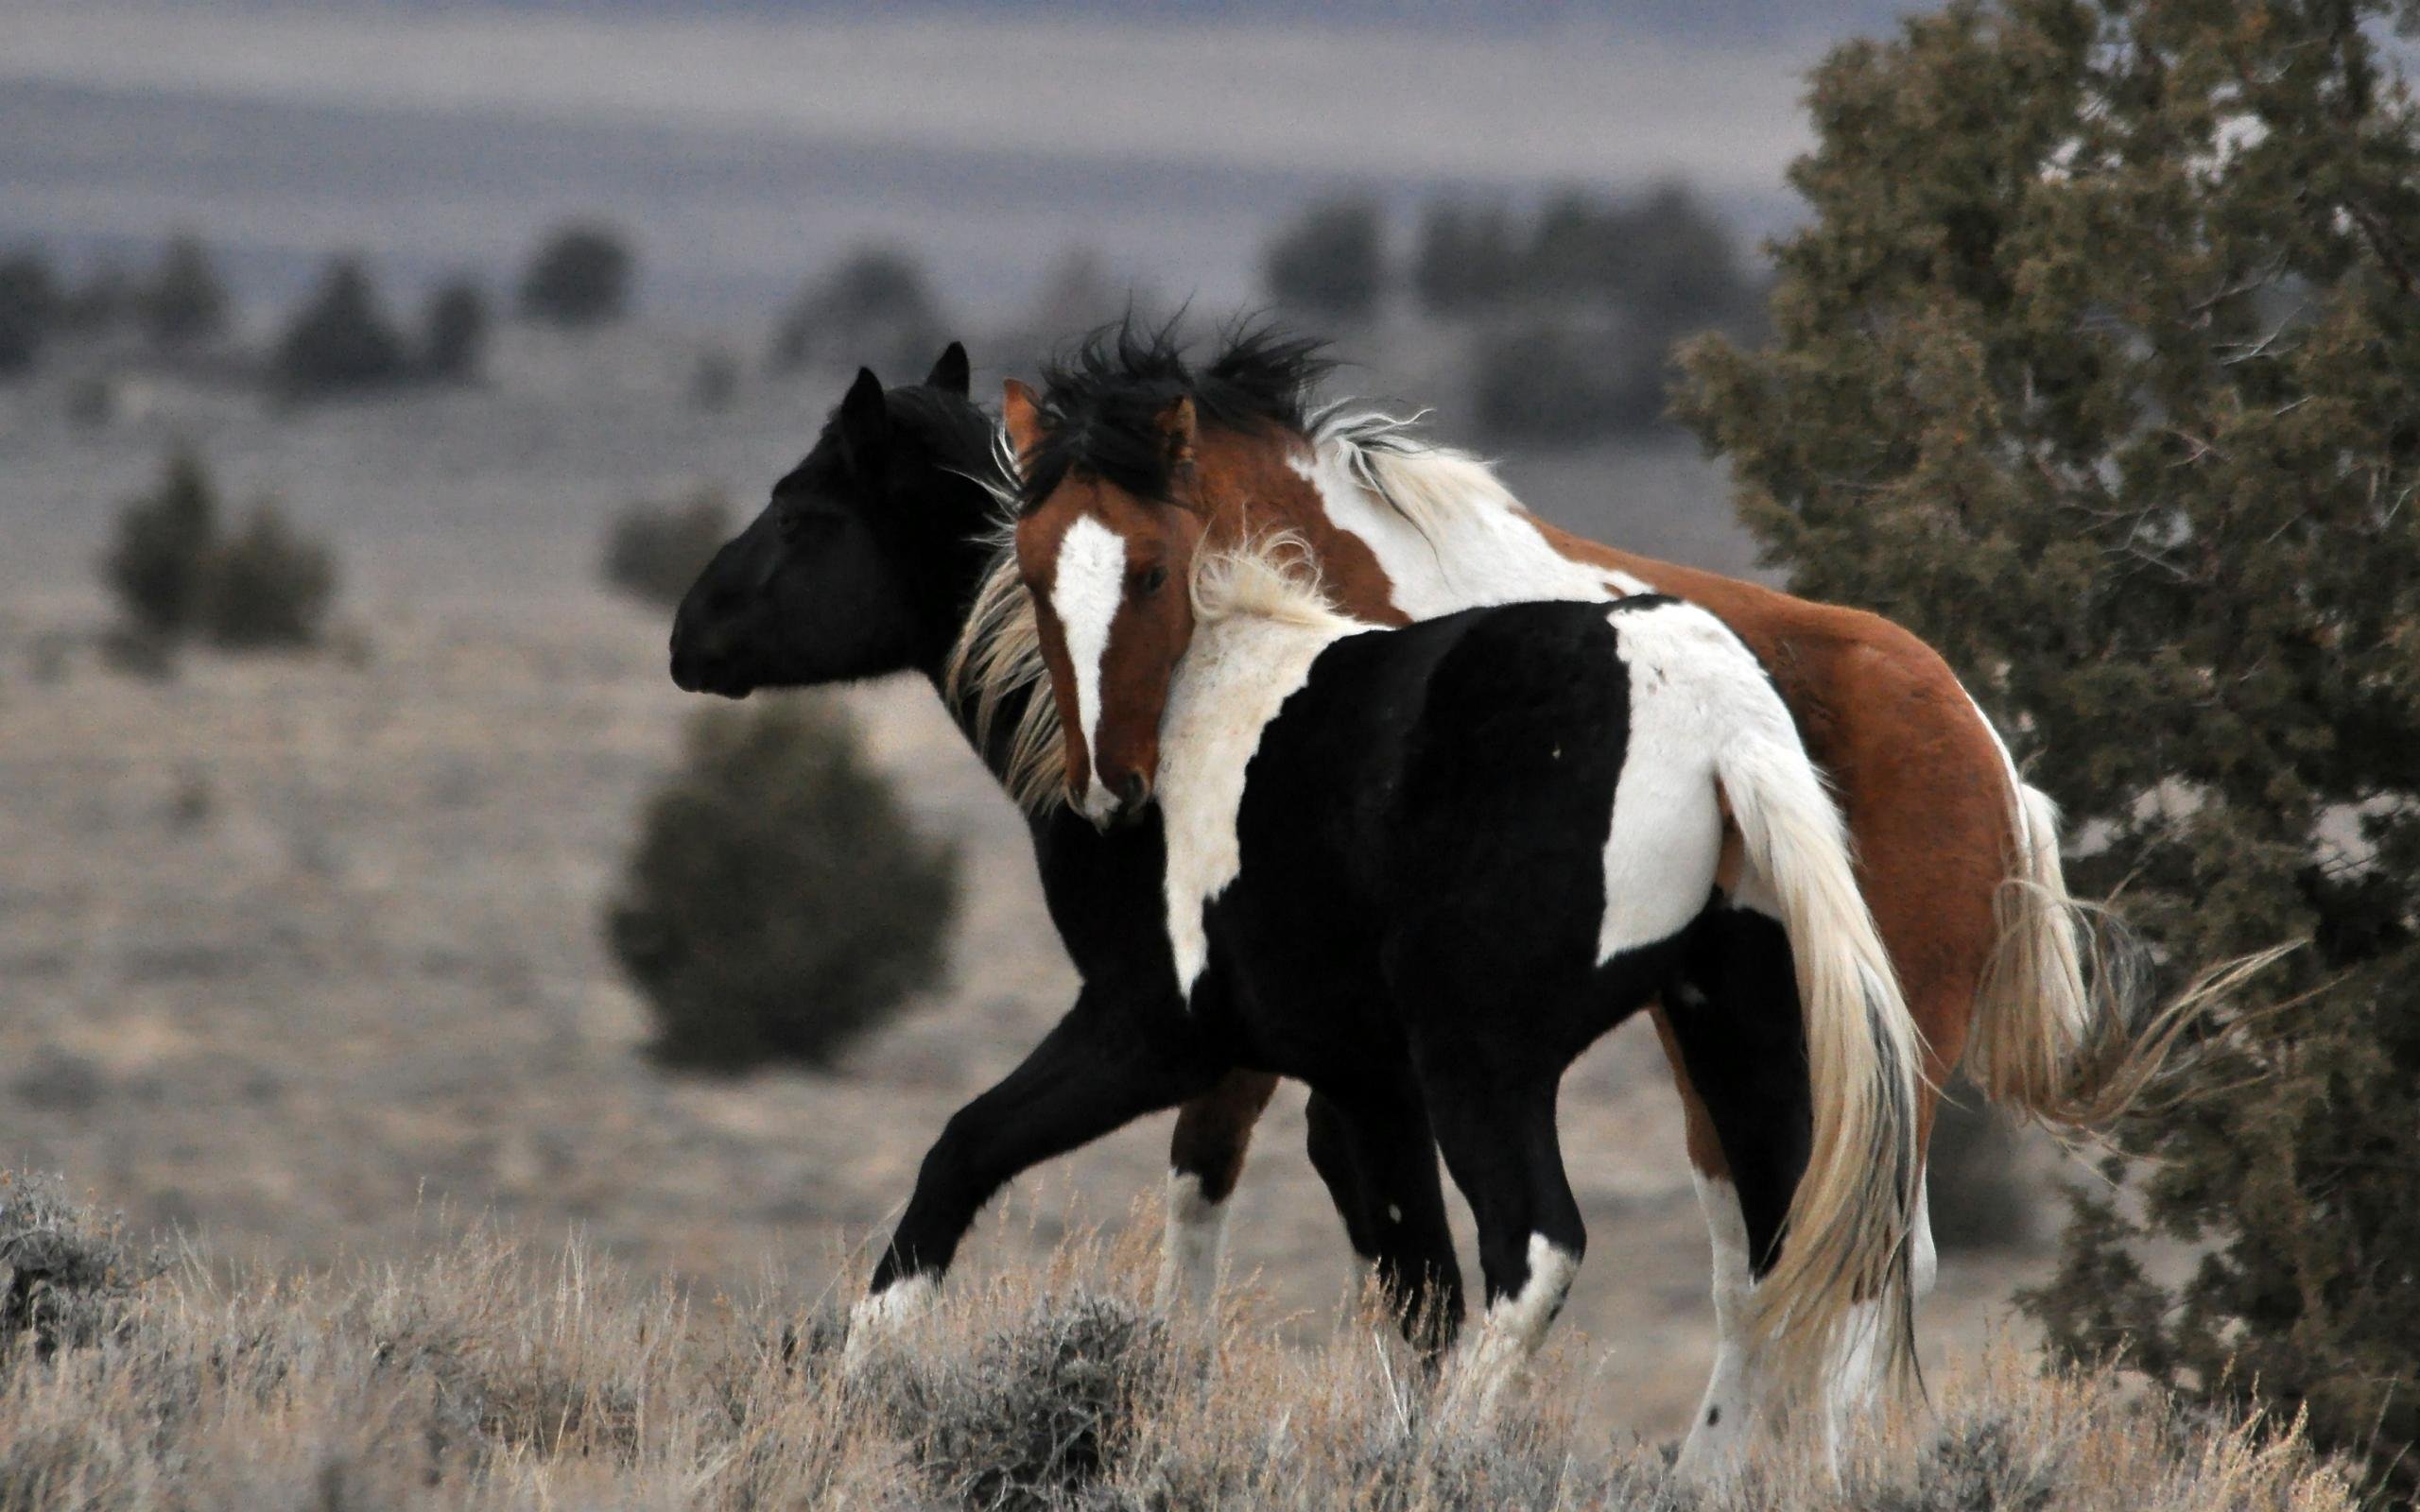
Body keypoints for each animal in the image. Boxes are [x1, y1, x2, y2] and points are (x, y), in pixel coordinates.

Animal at [976, 316, 2165, 1474]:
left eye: (1148, 572)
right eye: (1033, 570)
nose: (1108, 784)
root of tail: (1985, 752)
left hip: (1874, 1049)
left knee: (1864, 1263)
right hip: (1731, 1041)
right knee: (1775, 1264)